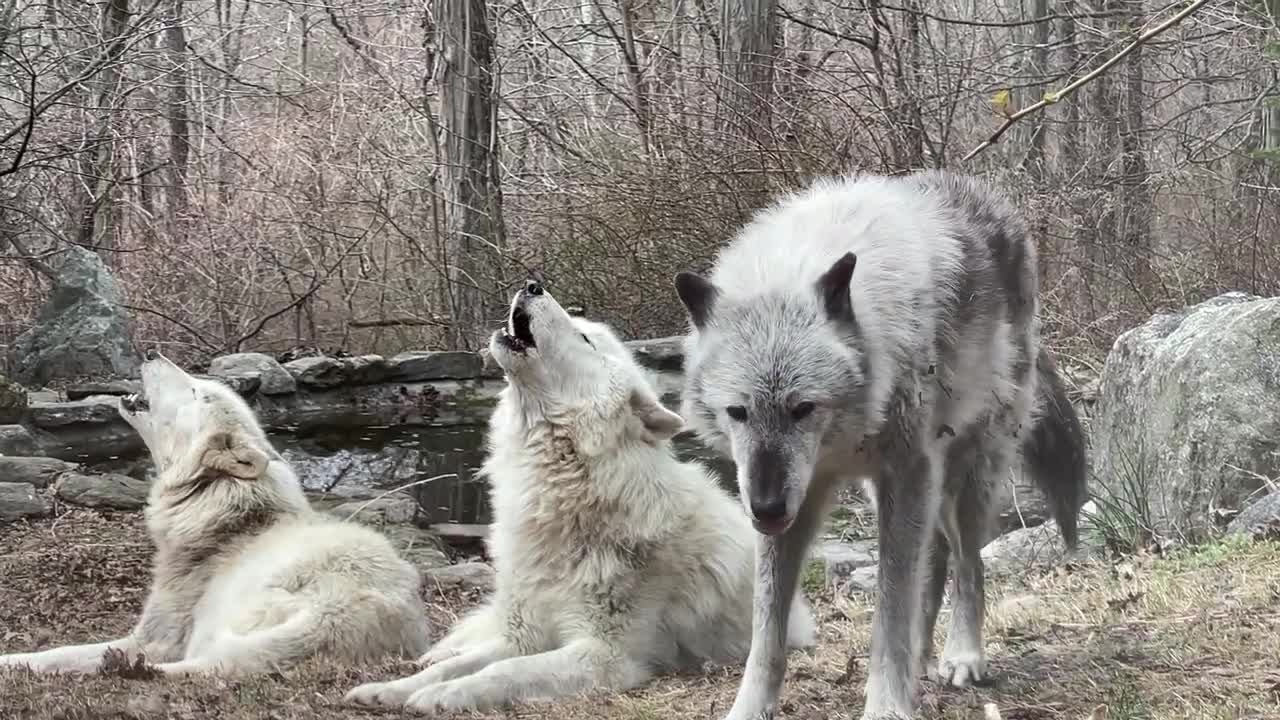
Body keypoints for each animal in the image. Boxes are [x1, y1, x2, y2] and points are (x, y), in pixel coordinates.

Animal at [0, 353, 430, 677]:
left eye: (196, 392)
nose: (153, 353)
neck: (225, 514)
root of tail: (337, 613)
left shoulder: (154, 640)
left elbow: (57, 655)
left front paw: (13, 663)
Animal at [344, 281, 817, 715]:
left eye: (585, 339)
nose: (532, 284)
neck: (563, 499)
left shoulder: (606, 656)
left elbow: (503, 671)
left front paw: (440, 697)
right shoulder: (524, 633)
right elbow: (464, 664)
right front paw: (392, 689)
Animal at [673, 170, 1087, 720]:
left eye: (803, 408)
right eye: (738, 412)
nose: (763, 508)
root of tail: (986, 194)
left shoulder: (905, 473)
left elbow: (890, 611)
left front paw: (888, 704)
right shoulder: (801, 500)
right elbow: (767, 630)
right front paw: (749, 708)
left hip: (966, 474)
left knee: (969, 564)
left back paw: (962, 656)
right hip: (903, 492)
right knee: (934, 561)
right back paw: (923, 658)